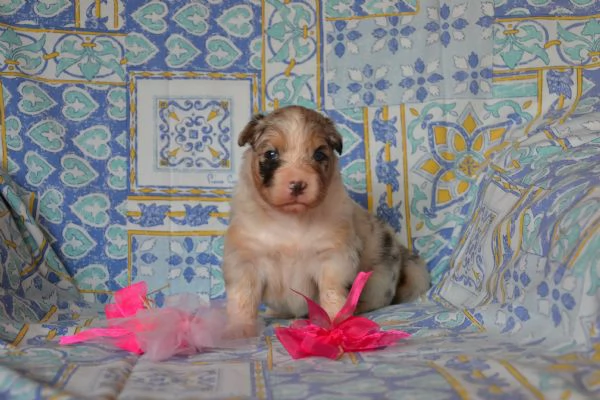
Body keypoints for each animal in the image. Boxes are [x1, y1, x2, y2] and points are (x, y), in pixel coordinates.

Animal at [223, 104, 428, 336]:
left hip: (380, 280)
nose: (297, 184)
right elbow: (243, 298)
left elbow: (331, 293)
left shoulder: (333, 259)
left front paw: (335, 324)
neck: (290, 220)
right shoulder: (245, 260)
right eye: (271, 154)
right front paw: (239, 328)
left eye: (319, 154)